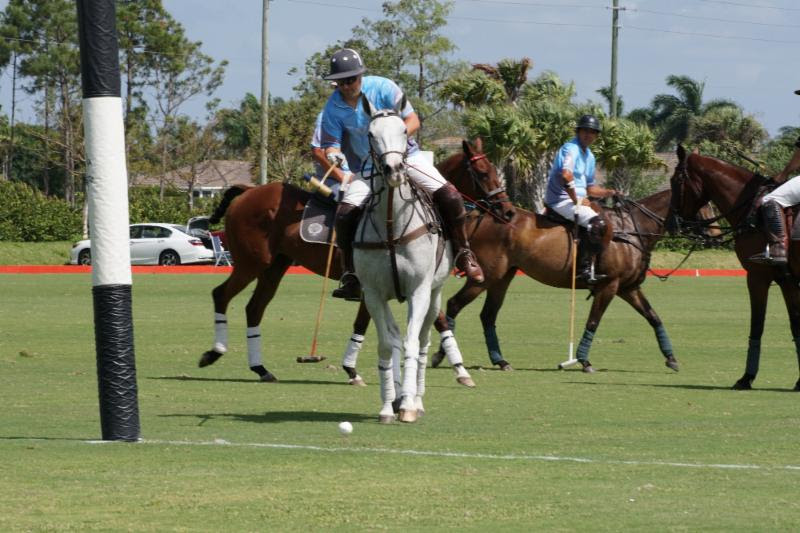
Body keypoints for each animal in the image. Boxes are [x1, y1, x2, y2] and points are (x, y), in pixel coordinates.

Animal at [198, 139, 514, 384]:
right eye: (483, 172)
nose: (509, 211)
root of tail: (248, 191)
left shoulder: (403, 284)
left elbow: (384, 321)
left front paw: (460, 370)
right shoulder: (373, 283)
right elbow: (376, 321)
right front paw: (353, 370)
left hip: (276, 266)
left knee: (254, 308)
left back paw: (261, 369)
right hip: (251, 262)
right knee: (220, 294)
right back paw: (214, 352)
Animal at [429, 187, 717, 373]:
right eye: (704, 204)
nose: (715, 234)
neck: (632, 231)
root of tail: (476, 216)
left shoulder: (628, 287)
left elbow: (654, 317)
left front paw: (671, 358)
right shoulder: (609, 285)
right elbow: (593, 321)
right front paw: (583, 361)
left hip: (502, 276)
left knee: (488, 315)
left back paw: (501, 361)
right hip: (485, 275)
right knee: (454, 304)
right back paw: (442, 355)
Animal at [669, 145, 800, 391]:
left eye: (676, 180)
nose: (671, 223)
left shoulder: (757, 277)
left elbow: (757, 325)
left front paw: (746, 378)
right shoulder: (787, 281)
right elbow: (795, 326)